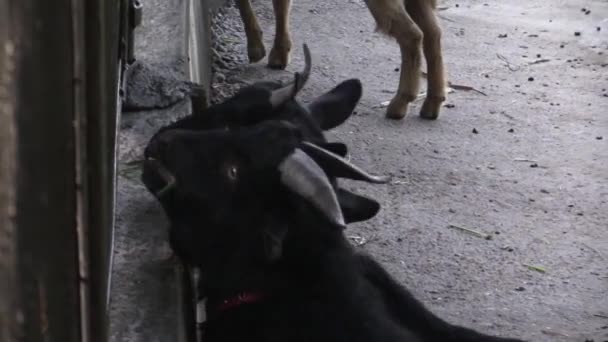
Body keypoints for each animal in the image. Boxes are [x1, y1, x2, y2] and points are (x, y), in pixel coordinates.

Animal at [233, 0, 446, 120]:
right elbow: (281, 5)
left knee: (413, 34)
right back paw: (432, 104)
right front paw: (279, 55)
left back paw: (400, 103)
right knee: (433, 33)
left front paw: (256, 49)